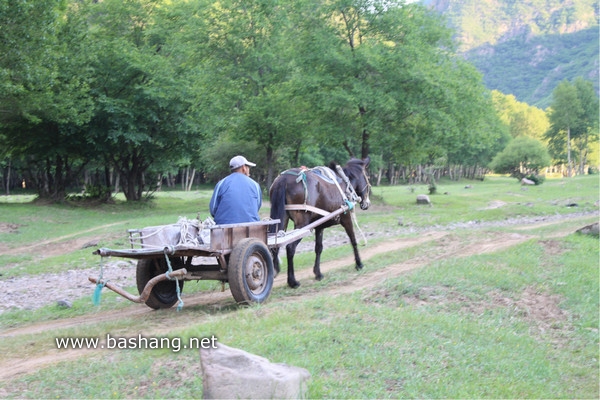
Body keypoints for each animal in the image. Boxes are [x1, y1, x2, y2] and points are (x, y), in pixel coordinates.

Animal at [268, 155, 370, 288]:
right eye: (368, 176)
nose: (367, 203)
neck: (345, 185)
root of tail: (284, 179)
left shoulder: (319, 226)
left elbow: (318, 248)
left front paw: (318, 273)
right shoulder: (346, 219)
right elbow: (353, 240)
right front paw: (359, 263)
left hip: (282, 220)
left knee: (275, 243)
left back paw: (274, 270)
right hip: (302, 225)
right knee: (290, 247)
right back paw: (292, 281)